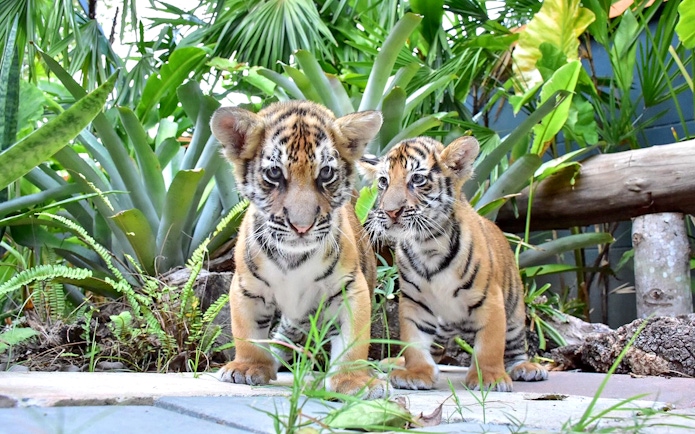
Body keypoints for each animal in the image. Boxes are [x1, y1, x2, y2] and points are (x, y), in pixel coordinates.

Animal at [209, 100, 387, 399]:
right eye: (274, 173)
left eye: (326, 173)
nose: (301, 226)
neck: (293, 257)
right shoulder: (246, 287)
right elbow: (247, 331)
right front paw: (247, 368)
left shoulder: (351, 289)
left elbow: (353, 341)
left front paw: (354, 381)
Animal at [359, 135, 548, 392]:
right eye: (383, 182)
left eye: (417, 179)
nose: (391, 211)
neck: (426, 244)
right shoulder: (414, 302)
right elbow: (414, 341)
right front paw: (416, 373)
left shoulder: (490, 299)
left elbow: (490, 345)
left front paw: (489, 378)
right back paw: (395, 362)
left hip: (515, 313)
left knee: (515, 348)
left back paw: (526, 368)